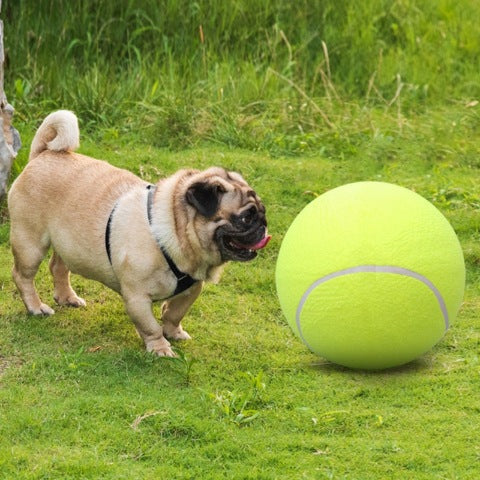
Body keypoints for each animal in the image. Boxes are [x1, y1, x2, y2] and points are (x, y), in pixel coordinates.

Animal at [8, 109, 270, 356]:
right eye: (245, 218)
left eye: (262, 212)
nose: (263, 225)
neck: (174, 233)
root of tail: (42, 154)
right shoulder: (137, 297)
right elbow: (150, 326)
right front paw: (160, 348)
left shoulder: (192, 289)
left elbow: (174, 313)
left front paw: (174, 332)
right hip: (30, 244)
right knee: (22, 276)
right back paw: (36, 307)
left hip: (67, 244)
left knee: (58, 268)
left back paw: (67, 297)